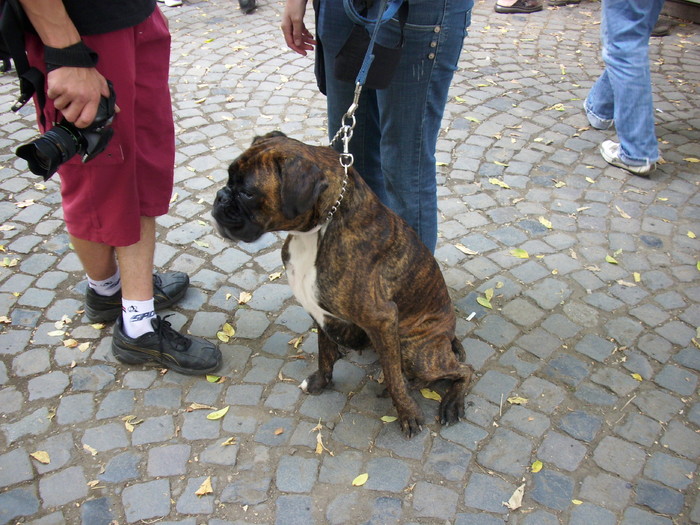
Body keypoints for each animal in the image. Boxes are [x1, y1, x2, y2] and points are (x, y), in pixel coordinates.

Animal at [212, 132, 476, 438]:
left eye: (247, 193)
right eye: (228, 178)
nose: (220, 196)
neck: (316, 231)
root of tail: (448, 335)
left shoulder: (383, 318)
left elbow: (393, 377)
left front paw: (407, 413)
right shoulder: (319, 314)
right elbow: (324, 352)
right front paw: (320, 381)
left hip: (417, 352)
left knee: (462, 369)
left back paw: (451, 402)